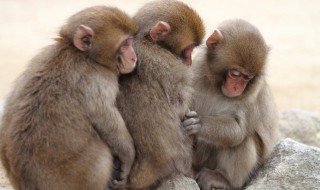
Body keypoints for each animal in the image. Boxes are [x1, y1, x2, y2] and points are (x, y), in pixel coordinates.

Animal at [0, 5, 136, 190]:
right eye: (126, 44)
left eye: (131, 41)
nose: (134, 57)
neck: (79, 53)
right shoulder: (97, 80)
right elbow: (105, 117)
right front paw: (128, 155)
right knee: (102, 159)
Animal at [190, 19, 280, 190]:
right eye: (235, 73)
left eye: (248, 78)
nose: (238, 88)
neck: (217, 88)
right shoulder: (196, 71)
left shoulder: (252, 94)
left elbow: (237, 130)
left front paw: (199, 124)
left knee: (243, 140)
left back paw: (225, 179)